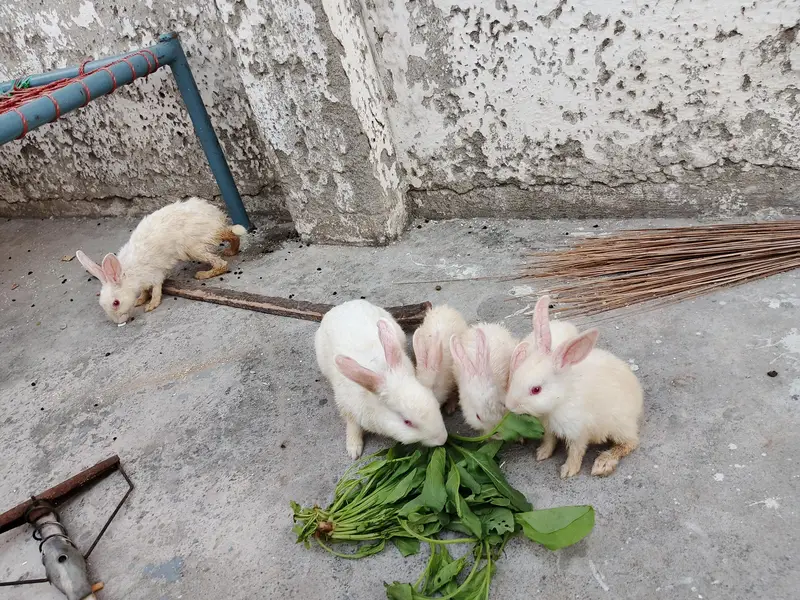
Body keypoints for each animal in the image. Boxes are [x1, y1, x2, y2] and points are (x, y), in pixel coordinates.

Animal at [76, 197, 246, 324]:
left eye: (115, 303)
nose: (119, 321)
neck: (128, 275)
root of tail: (216, 218)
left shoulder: (154, 275)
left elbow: (156, 289)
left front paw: (151, 305)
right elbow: (145, 291)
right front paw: (140, 300)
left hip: (194, 248)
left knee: (222, 263)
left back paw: (203, 274)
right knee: (232, 235)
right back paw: (231, 251)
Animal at [315, 299, 449, 459]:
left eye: (434, 401)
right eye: (407, 422)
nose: (442, 439)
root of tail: (344, 305)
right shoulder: (347, 406)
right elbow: (352, 425)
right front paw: (354, 450)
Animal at [505, 295, 643, 478]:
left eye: (536, 390)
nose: (509, 405)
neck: (560, 400)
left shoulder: (578, 432)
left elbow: (575, 452)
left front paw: (568, 471)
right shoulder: (549, 428)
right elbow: (549, 441)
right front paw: (542, 454)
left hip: (620, 426)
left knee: (630, 443)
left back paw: (603, 463)